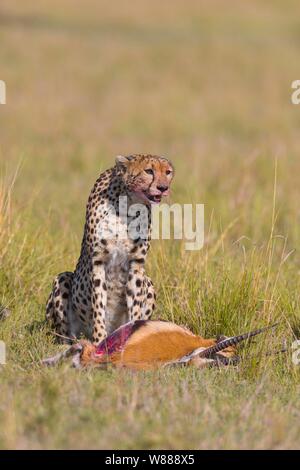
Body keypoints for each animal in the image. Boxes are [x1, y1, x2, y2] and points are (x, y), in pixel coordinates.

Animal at [45, 154, 175, 346]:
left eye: (168, 172)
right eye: (149, 171)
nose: (163, 187)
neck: (127, 205)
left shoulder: (136, 264)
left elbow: (135, 306)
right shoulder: (98, 262)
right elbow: (99, 306)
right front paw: (100, 341)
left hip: (149, 282)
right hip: (63, 281)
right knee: (66, 335)